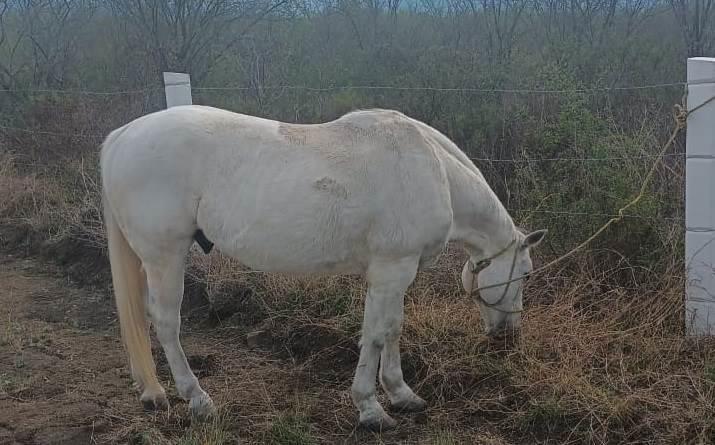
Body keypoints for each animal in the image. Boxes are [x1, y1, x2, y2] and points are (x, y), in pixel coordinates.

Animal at [100, 105, 546, 430]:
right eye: (524, 274)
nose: (508, 336)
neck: (431, 168)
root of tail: (122, 136)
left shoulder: (392, 277)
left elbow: (391, 330)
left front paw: (402, 394)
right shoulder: (392, 270)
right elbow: (377, 335)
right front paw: (371, 409)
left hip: (149, 261)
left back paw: (151, 390)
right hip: (165, 256)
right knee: (166, 323)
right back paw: (197, 399)